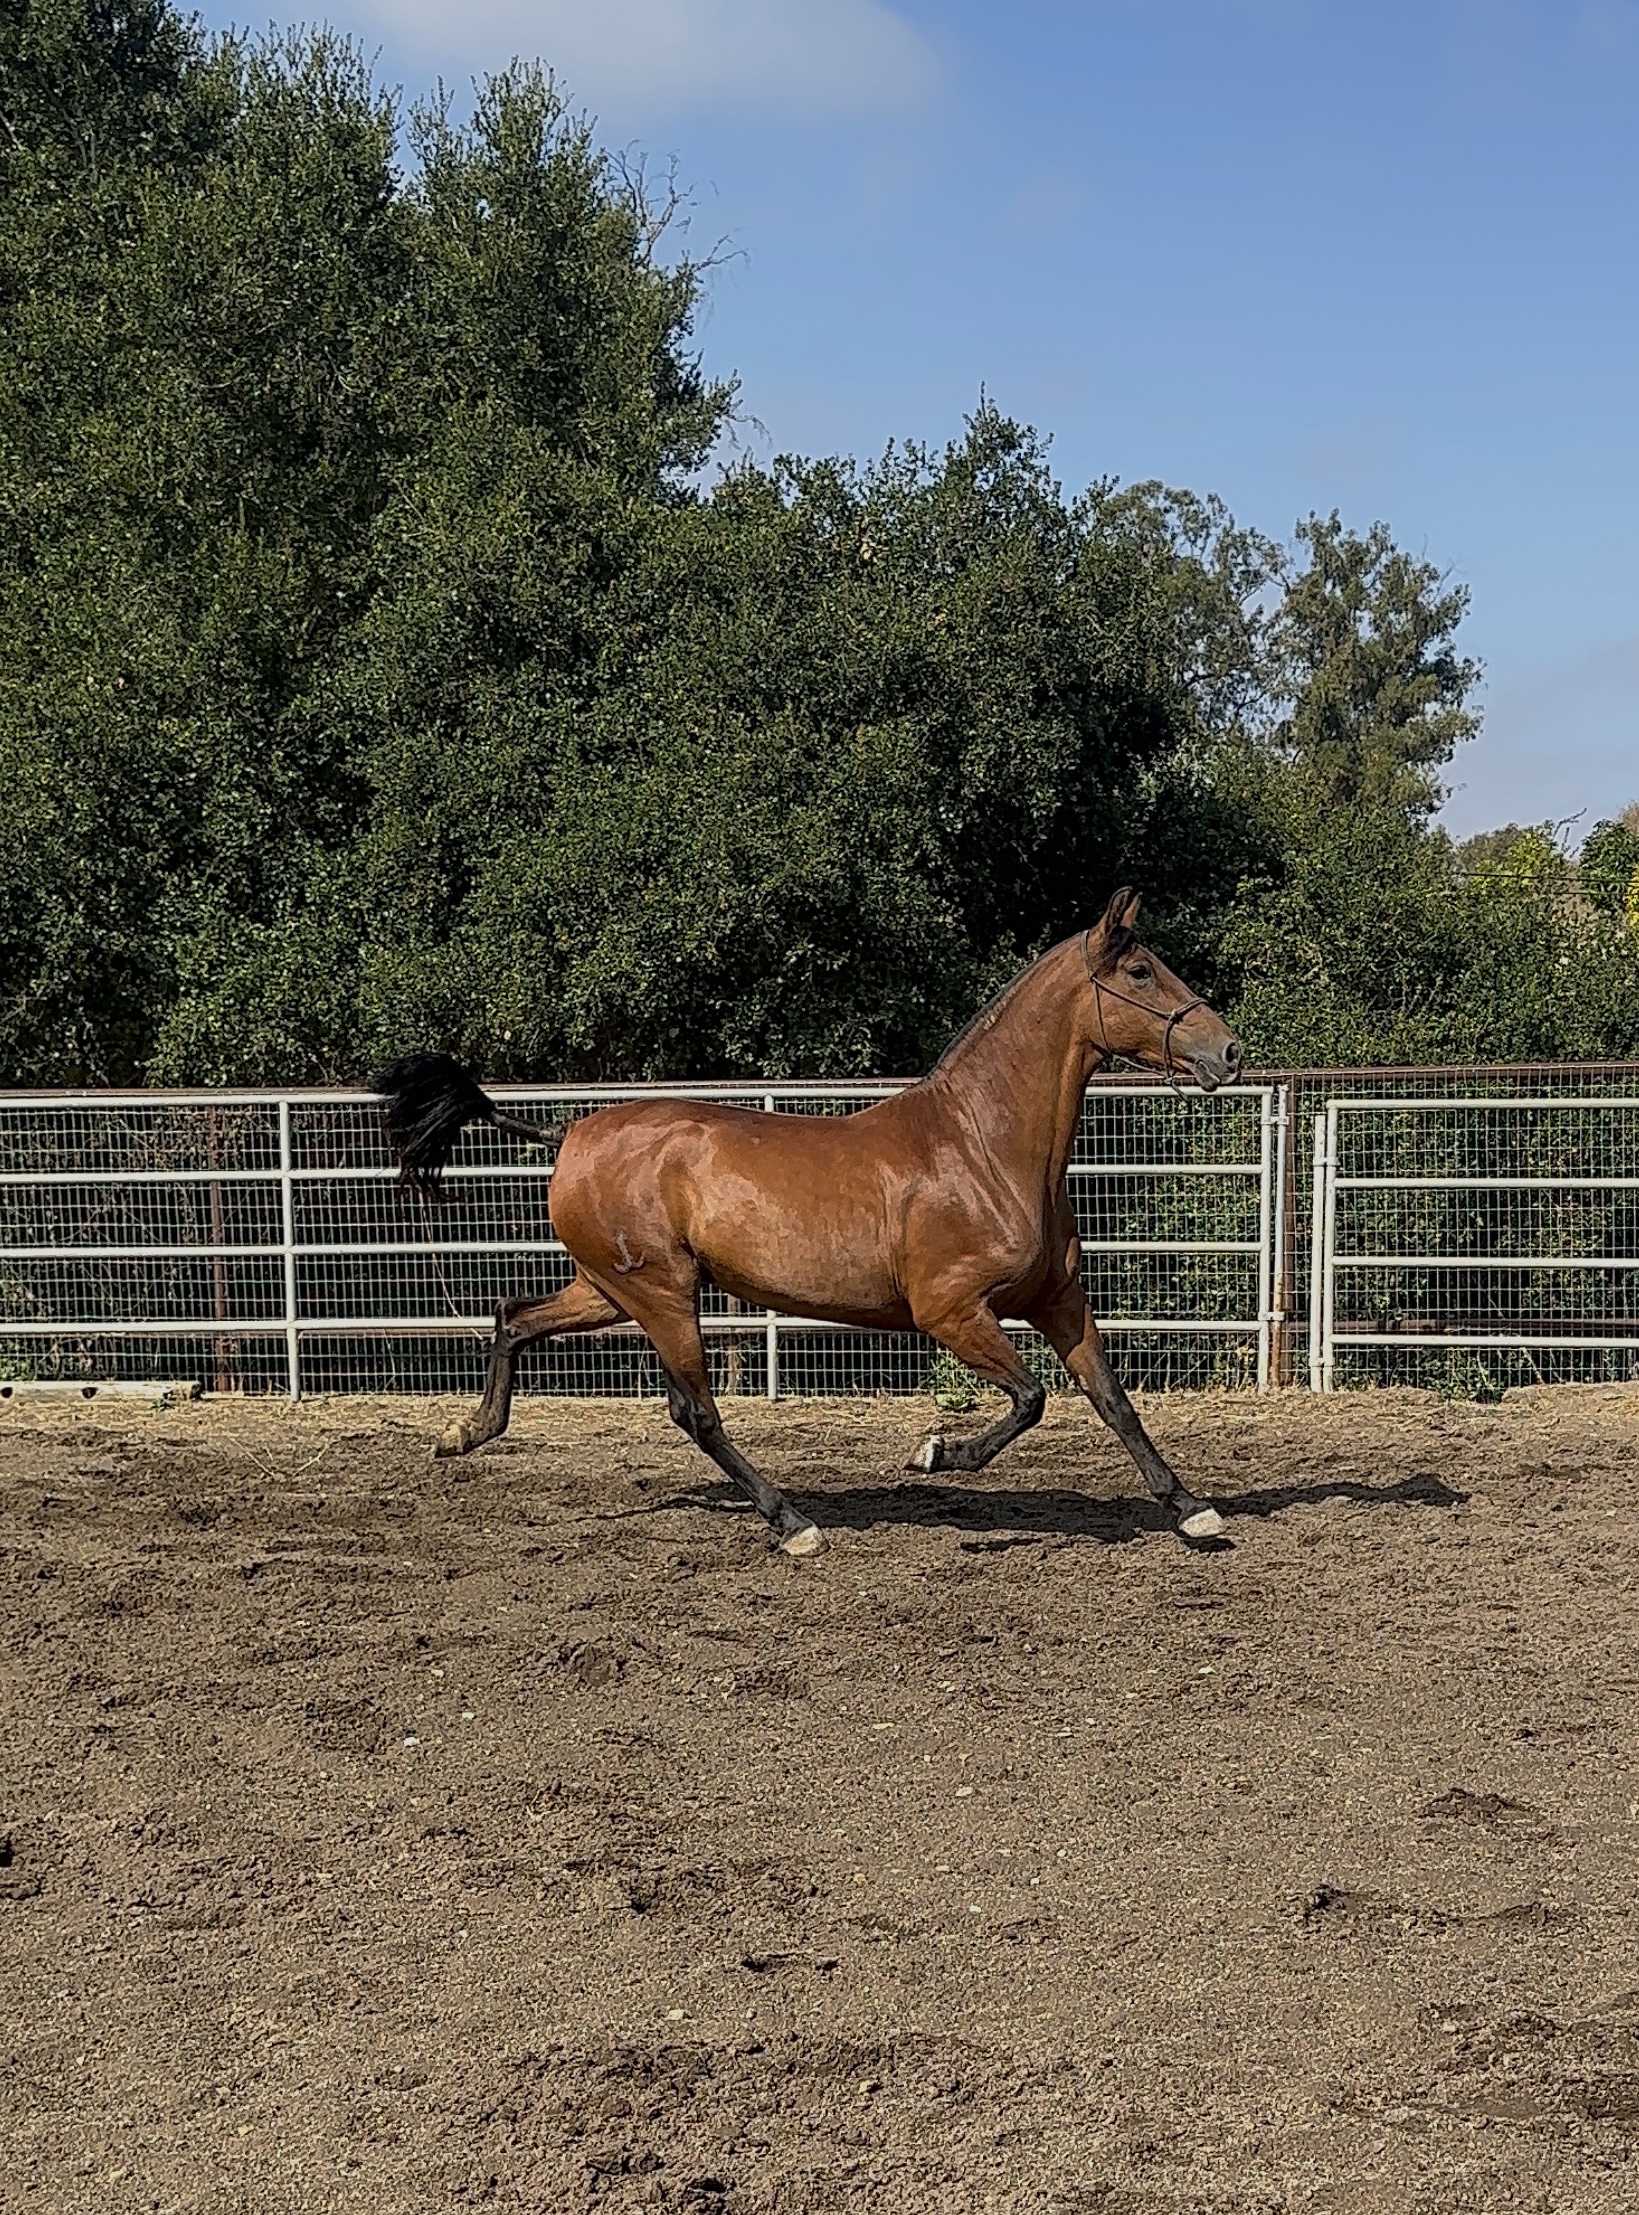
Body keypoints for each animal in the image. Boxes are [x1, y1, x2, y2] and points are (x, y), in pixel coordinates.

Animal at [378, 888, 1243, 1556]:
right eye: (1139, 970)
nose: (1229, 1051)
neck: (981, 1146)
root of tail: (569, 1137)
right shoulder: (949, 1310)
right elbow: (1030, 1398)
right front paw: (934, 1451)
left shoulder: (1056, 1300)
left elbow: (1112, 1399)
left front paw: (1192, 1510)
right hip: (662, 1293)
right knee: (694, 1410)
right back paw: (793, 1522)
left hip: (606, 1289)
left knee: (513, 1316)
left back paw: (465, 1432)